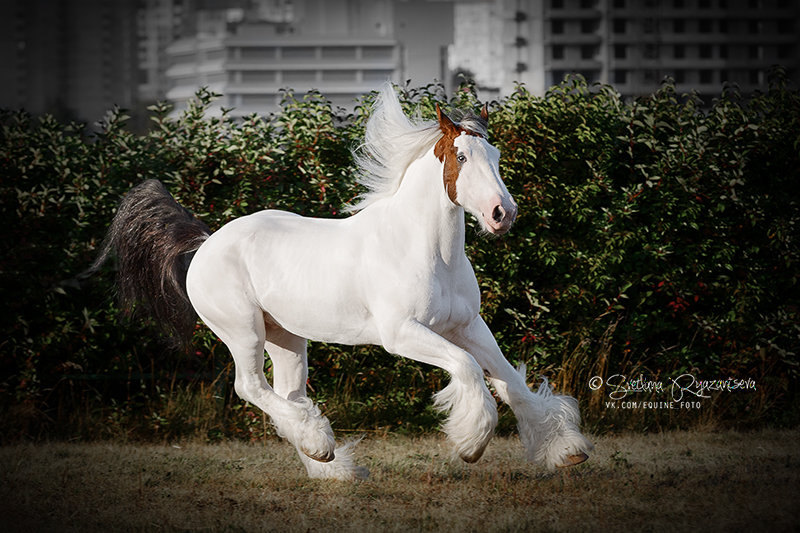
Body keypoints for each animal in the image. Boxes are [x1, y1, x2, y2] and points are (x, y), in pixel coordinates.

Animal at [95, 85, 592, 480]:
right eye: (462, 156)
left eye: (498, 157)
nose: (502, 214)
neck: (428, 251)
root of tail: (205, 241)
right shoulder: (403, 334)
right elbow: (469, 370)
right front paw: (471, 444)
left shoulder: (467, 326)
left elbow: (511, 382)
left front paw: (566, 452)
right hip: (242, 331)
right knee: (250, 388)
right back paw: (321, 446)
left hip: (286, 338)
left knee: (289, 396)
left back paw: (330, 467)